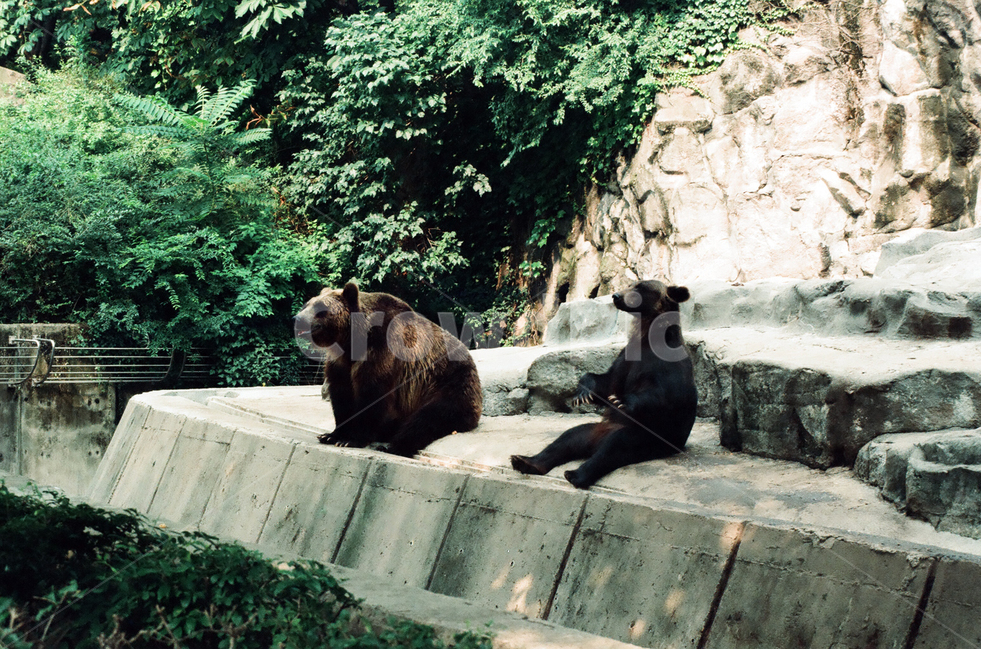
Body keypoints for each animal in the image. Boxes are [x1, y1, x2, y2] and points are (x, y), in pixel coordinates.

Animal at [294, 282, 482, 457]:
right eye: (307, 304)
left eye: (320, 308)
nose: (297, 319)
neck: (352, 339)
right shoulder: (341, 362)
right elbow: (342, 395)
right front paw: (331, 435)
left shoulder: (382, 350)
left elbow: (372, 393)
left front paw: (352, 439)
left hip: (448, 383)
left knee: (430, 417)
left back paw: (392, 446)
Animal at [510, 279, 697, 489]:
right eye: (632, 284)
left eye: (640, 288)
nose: (616, 296)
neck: (647, 335)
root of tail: (599, 440)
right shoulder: (627, 357)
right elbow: (609, 381)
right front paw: (583, 393)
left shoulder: (668, 366)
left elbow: (664, 396)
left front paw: (621, 401)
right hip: (596, 430)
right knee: (569, 437)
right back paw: (525, 461)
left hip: (650, 438)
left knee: (617, 446)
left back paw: (576, 474)